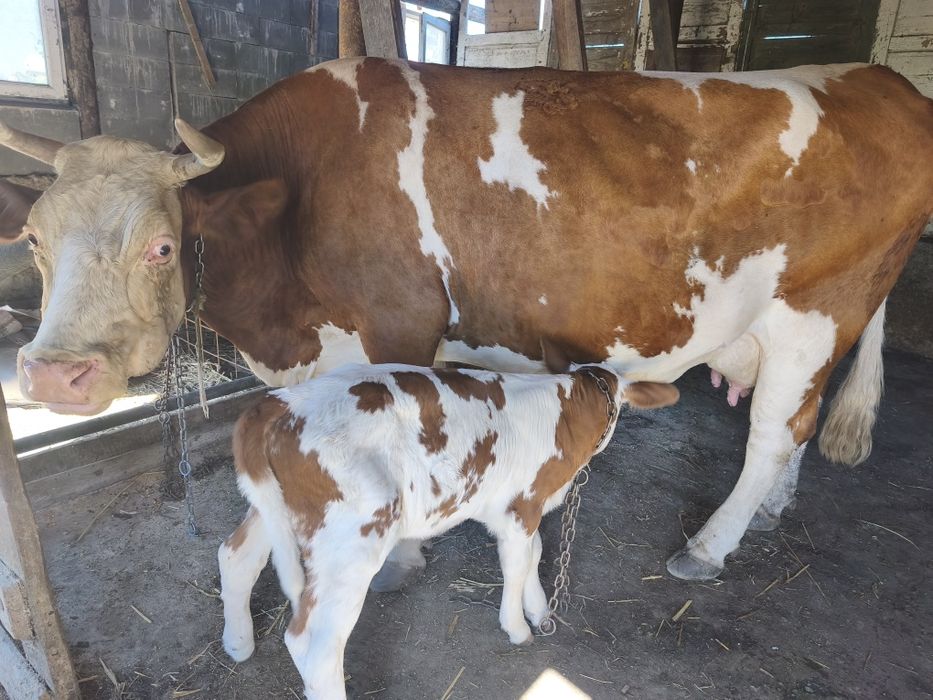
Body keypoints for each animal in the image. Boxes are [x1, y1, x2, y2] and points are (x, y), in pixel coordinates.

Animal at [1, 59, 930, 582]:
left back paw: (709, 545)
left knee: (776, 428)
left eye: (161, 246)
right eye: (33, 240)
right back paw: (770, 510)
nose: (53, 375)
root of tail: (878, 78)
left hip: (817, 308)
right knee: (799, 420)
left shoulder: (398, 327)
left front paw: (403, 553)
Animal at [220, 363, 679, 698]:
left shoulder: (520, 508)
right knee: (313, 646)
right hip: (352, 541)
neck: (567, 410)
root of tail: (275, 404)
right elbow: (517, 564)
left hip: (272, 510)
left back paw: (238, 644)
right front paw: (518, 627)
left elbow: (534, 552)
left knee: (235, 556)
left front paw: (539, 609)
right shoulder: (520, 506)